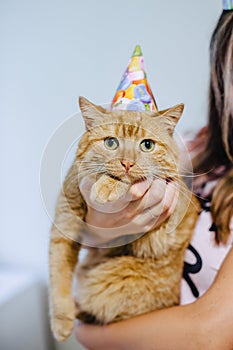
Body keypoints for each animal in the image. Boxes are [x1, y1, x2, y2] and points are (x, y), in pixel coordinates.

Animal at [48, 96, 198, 342]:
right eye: (111, 143)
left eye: (147, 145)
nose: (127, 163)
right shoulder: (64, 227)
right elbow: (58, 275)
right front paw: (61, 320)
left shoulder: (172, 212)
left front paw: (107, 186)